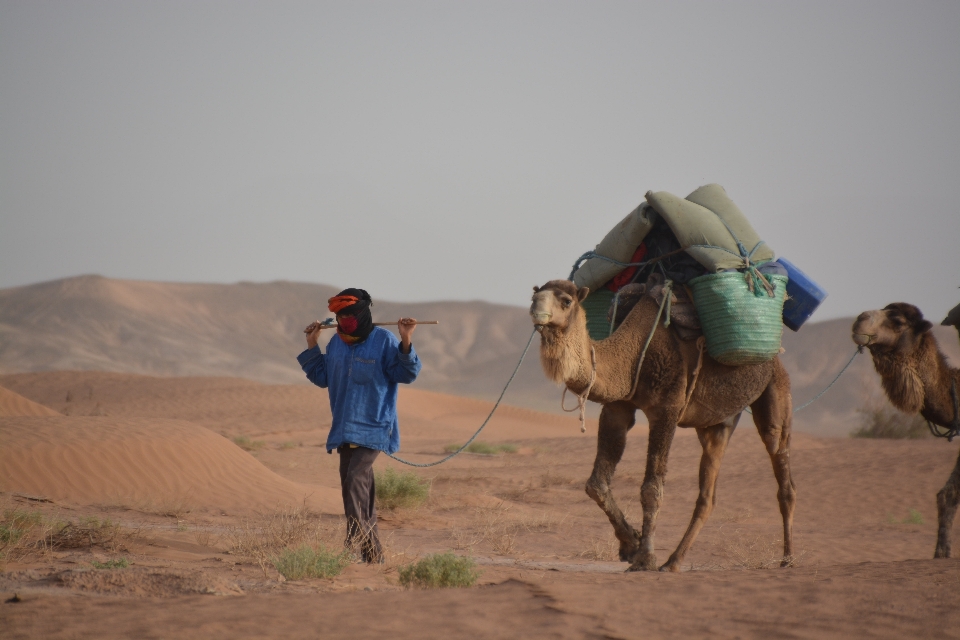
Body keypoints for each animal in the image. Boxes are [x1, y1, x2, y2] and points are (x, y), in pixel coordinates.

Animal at [532, 278, 796, 568]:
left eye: (566, 301)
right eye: (535, 295)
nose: (535, 310)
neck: (631, 355)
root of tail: (776, 355)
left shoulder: (667, 410)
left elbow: (651, 488)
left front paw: (645, 558)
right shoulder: (617, 408)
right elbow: (596, 484)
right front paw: (630, 544)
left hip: (777, 388)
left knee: (780, 461)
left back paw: (788, 558)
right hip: (717, 424)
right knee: (708, 492)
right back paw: (673, 562)